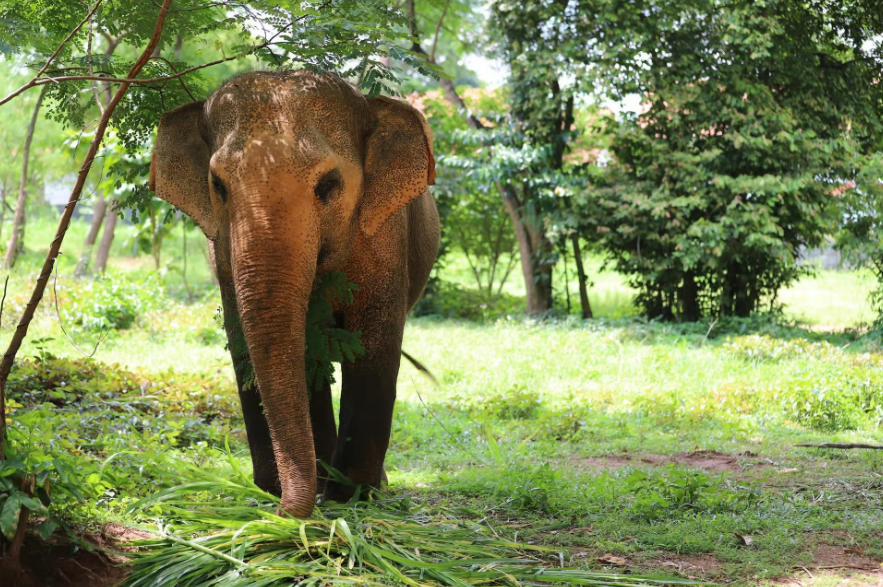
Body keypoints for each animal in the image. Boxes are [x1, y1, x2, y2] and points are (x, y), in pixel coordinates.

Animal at [149, 70, 439, 517]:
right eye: (218, 185)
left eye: (329, 184)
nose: (283, 511)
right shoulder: (223, 251)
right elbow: (249, 343)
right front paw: (276, 490)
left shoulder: (386, 236)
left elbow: (372, 349)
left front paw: (350, 496)